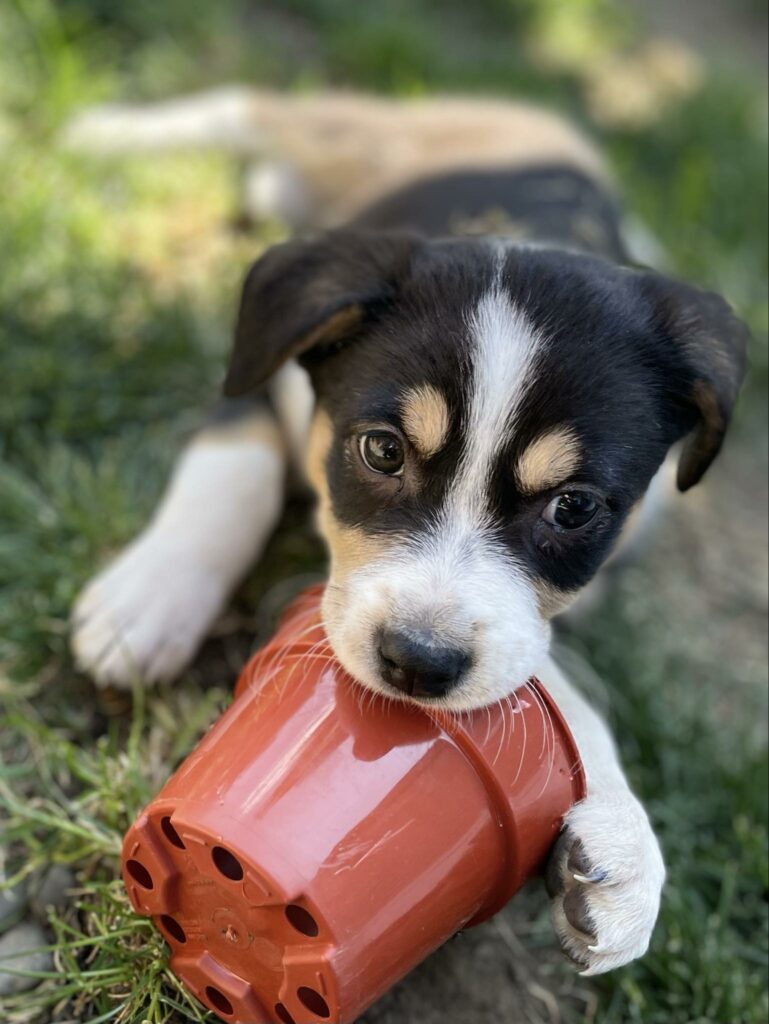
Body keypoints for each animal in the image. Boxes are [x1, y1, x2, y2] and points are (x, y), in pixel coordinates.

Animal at [70, 94, 745, 974]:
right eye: (383, 452)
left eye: (571, 509)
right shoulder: (262, 378)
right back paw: (96, 135)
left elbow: (539, 675)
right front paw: (147, 601)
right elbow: (233, 469)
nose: (417, 665)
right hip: (341, 138)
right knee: (247, 108)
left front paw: (623, 840)